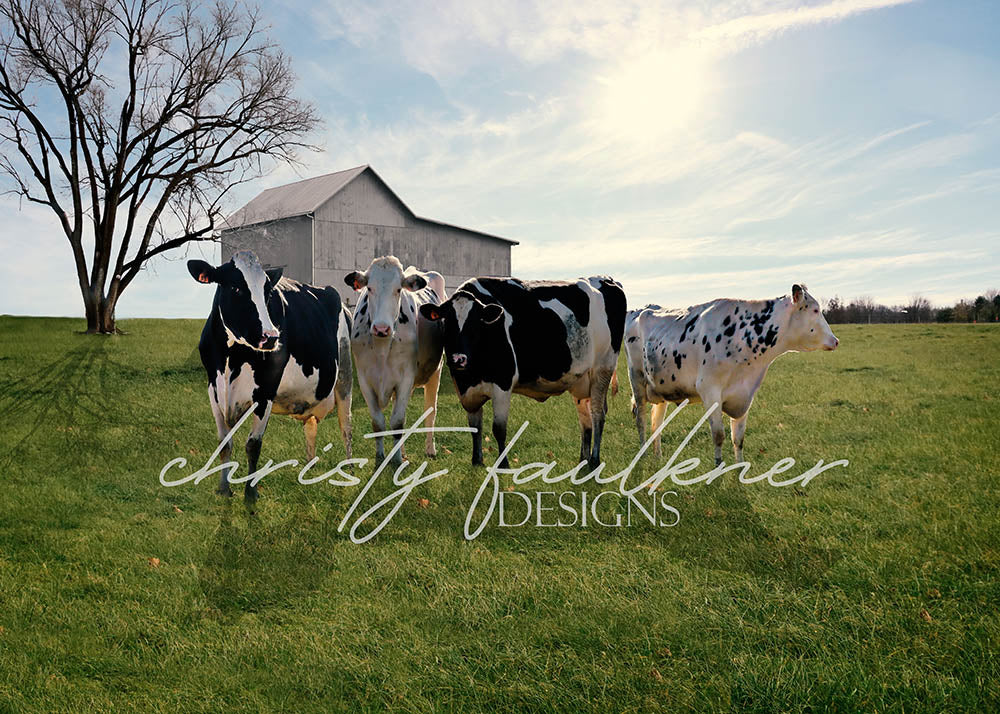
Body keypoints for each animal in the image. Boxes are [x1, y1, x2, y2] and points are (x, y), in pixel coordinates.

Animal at [187, 250, 352, 504]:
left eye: (267, 292)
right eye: (235, 287)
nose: (271, 337)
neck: (230, 359)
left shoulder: (265, 392)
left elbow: (253, 445)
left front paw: (250, 495)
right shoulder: (213, 388)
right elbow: (224, 443)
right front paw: (224, 490)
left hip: (345, 374)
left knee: (346, 426)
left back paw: (349, 471)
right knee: (311, 427)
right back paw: (309, 471)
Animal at [344, 256, 446, 465]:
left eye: (398, 289)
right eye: (369, 288)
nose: (381, 328)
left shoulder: (405, 379)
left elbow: (398, 422)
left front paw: (397, 460)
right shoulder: (364, 380)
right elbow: (378, 422)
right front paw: (381, 457)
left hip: (436, 372)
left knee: (431, 410)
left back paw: (430, 449)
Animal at [419, 276, 627, 470]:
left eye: (475, 323)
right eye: (447, 322)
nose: (458, 359)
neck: (470, 376)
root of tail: (606, 279)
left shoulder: (503, 383)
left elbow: (499, 429)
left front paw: (503, 464)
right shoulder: (466, 390)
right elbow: (475, 427)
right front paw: (476, 461)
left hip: (603, 369)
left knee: (598, 414)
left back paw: (594, 459)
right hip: (581, 380)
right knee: (585, 418)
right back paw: (583, 460)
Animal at [625, 284, 838, 465]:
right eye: (815, 310)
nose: (835, 340)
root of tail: (640, 309)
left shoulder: (744, 393)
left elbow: (739, 438)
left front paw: (738, 469)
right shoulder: (709, 391)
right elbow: (719, 435)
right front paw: (718, 468)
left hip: (660, 388)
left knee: (657, 424)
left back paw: (658, 457)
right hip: (637, 379)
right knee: (641, 420)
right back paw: (643, 456)